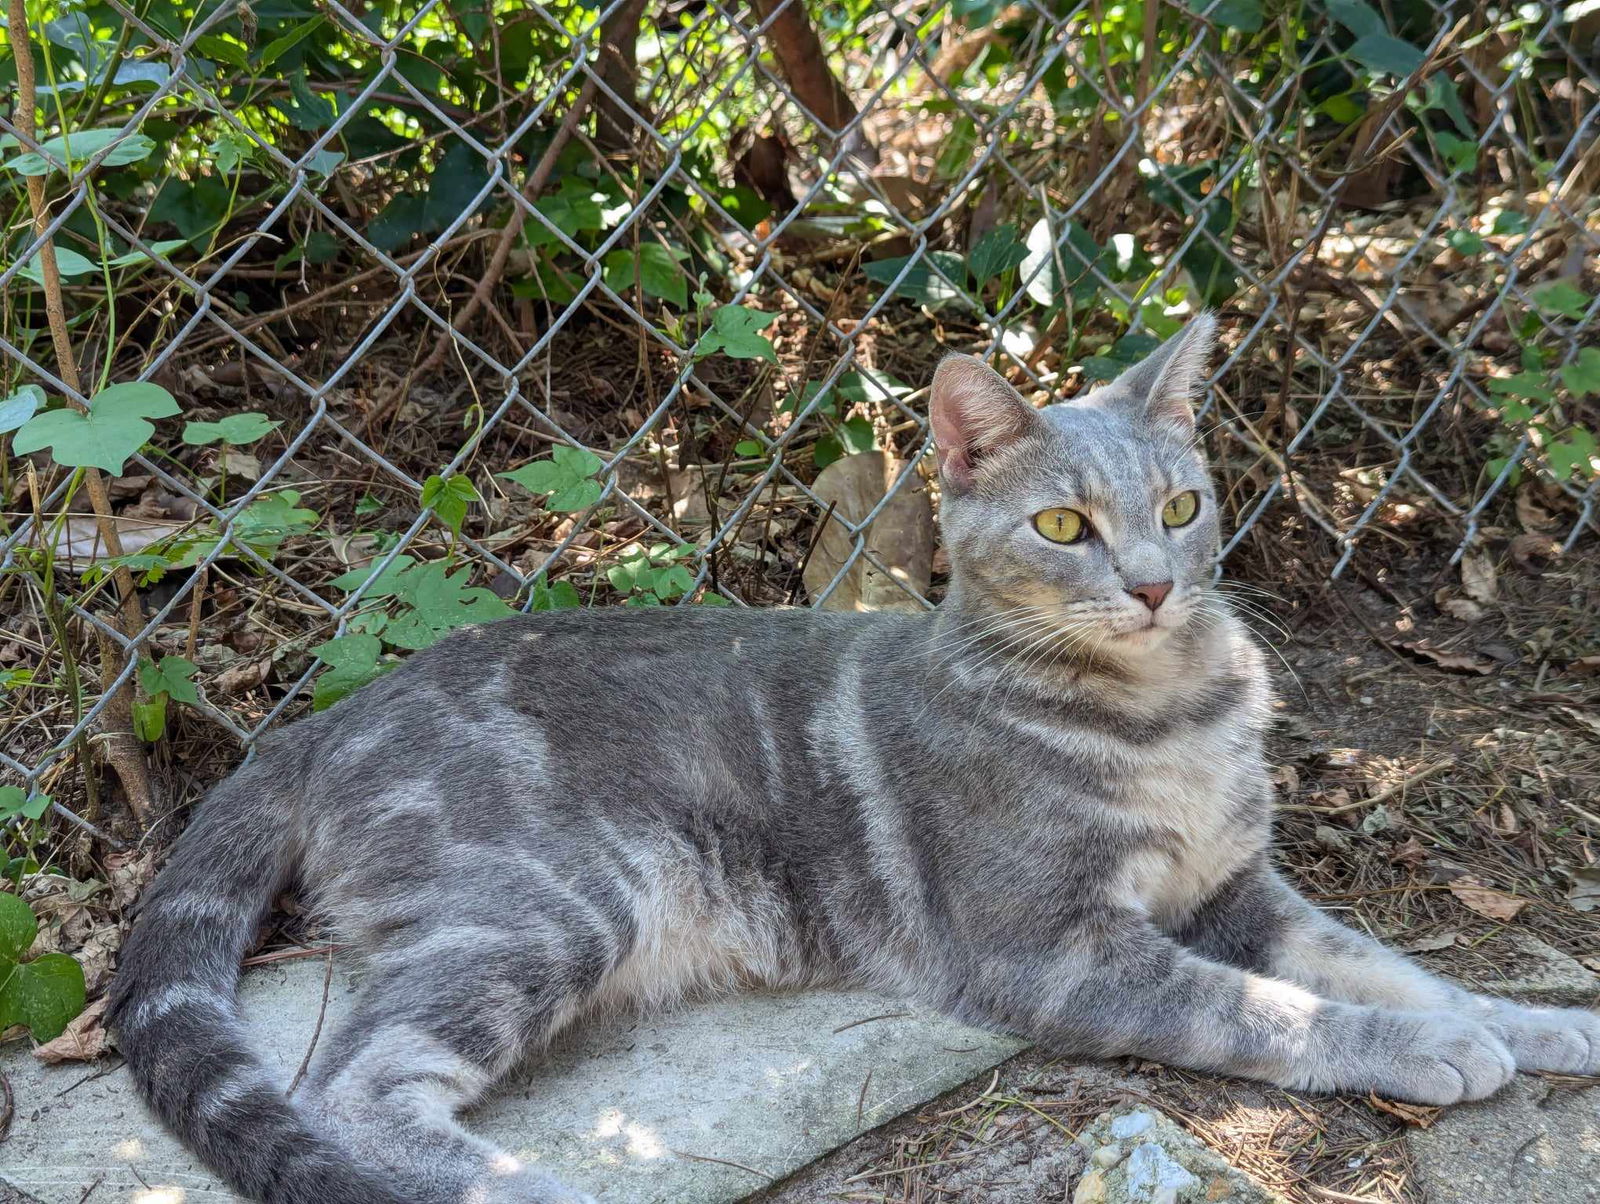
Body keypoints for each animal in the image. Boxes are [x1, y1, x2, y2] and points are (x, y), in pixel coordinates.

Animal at [106, 317, 1593, 1204]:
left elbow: (1379, 962)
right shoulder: (1058, 948)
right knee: (351, 1091)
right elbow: (1275, 1011)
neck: (1164, 709)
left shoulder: (1239, 887)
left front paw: (1531, 1021)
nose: (1158, 585)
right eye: (1063, 525)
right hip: (549, 903)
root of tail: (317, 720)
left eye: (1182, 504)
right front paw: (1431, 1050)